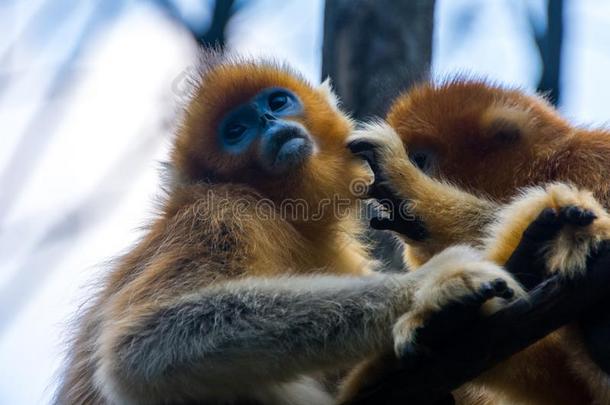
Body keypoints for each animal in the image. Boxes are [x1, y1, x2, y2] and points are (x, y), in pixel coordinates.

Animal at [53, 54, 524, 404]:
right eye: (236, 130)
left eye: (277, 102)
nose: (267, 123)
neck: (279, 209)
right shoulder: (221, 215)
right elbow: (142, 348)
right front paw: (435, 286)